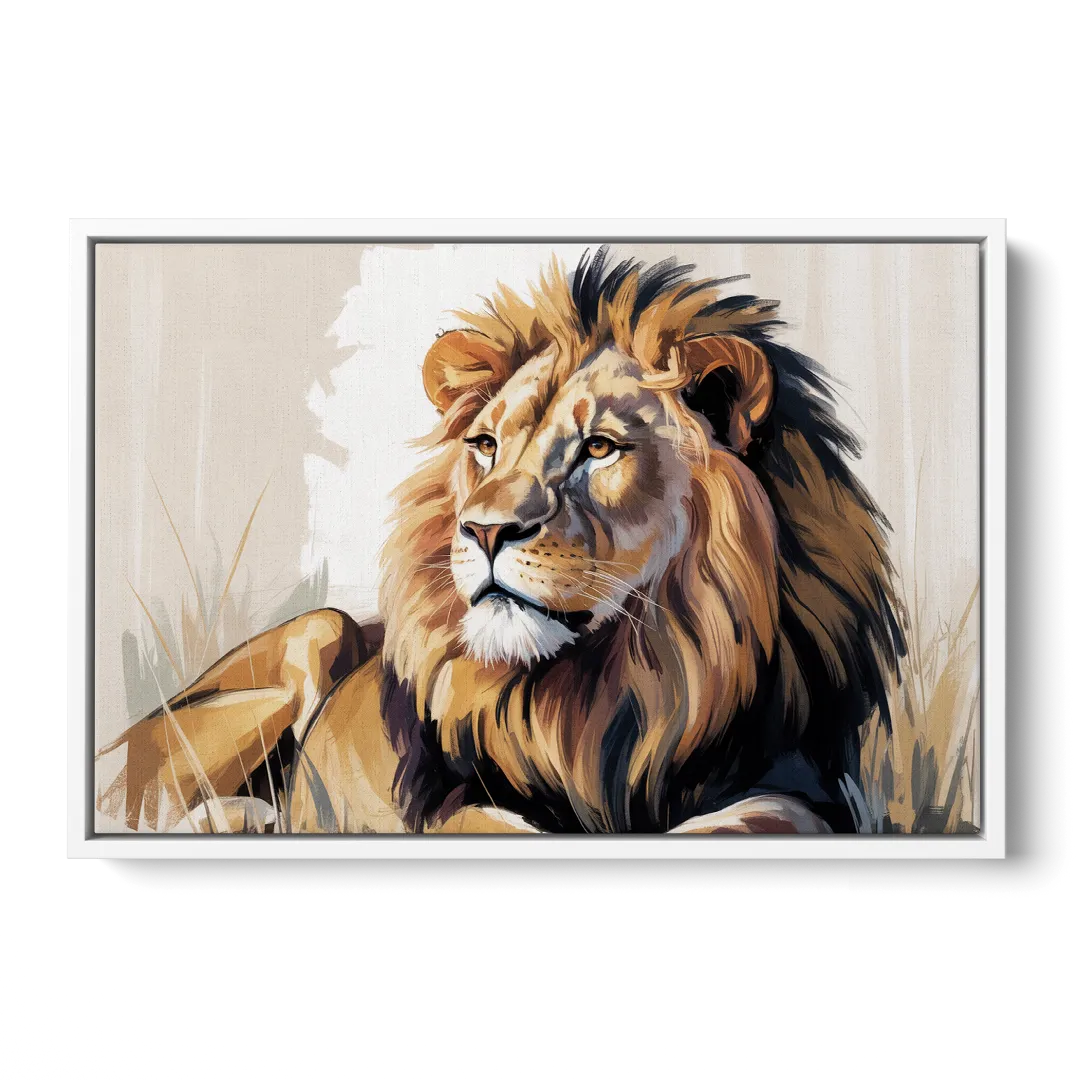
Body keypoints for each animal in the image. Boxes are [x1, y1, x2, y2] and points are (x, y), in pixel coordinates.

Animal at [99, 246, 906, 835]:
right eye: (486, 445)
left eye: (600, 448)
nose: (484, 529)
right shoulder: (454, 807)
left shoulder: (791, 782)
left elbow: (765, 818)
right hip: (314, 635)